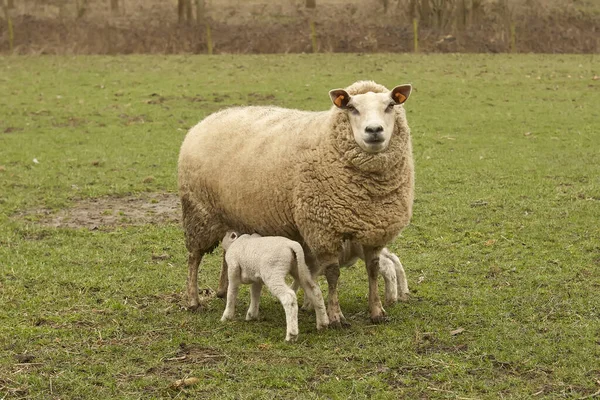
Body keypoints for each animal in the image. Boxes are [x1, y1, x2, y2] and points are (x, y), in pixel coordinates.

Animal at [178, 79, 412, 326]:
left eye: (390, 105)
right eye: (351, 108)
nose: (374, 130)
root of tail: (205, 120)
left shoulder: (375, 231)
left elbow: (373, 269)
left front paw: (376, 311)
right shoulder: (324, 230)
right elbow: (333, 274)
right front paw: (336, 315)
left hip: (231, 214)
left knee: (226, 252)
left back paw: (223, 291)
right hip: (199, 213)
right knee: (194, 258)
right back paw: (193, 300)